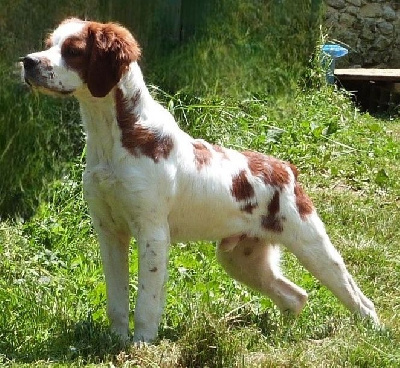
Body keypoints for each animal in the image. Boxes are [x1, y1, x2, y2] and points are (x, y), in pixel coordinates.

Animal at [21, 18, 378, 344]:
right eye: (49, 44)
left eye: (73, 51)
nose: (28, 62)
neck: (112, 142)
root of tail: (287, 169)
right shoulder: (109, 232)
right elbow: (117, 301)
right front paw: (117, 342)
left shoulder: (152, 234)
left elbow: (146, 303)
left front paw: (141, 345)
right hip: (240, 258)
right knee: (296, 295)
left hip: (313, 246)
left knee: (360, 299)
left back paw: (375, 334)